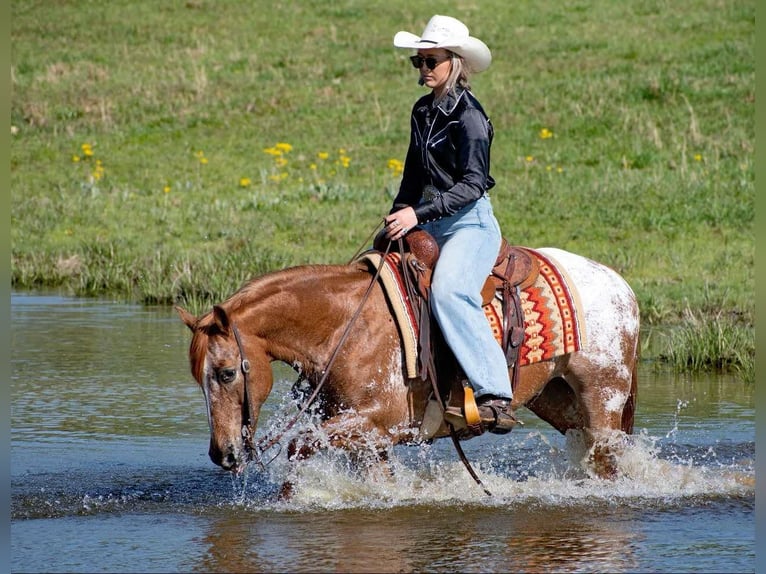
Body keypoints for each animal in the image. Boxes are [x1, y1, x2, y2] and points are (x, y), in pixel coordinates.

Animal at [177, 245, 639, 492]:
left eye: (226, 373)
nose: (222, 454)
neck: (348, 327)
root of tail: (621, 286)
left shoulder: (374, 423)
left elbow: (296, 448)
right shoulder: (369, 439)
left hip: (603, 397)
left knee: (608, 459)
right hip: (557, 398)